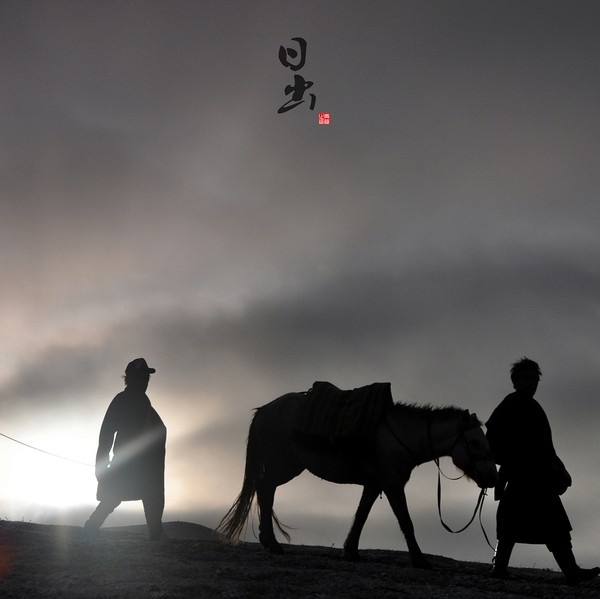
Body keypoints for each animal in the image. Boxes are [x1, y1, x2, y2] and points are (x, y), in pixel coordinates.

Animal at [216, 390, 496, 568]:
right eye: (474, 442)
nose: (492, 478)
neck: (399, 435)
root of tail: (265, 410)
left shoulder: (373, 485)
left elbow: (361, 516)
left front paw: (350, 551)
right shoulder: (393, 484)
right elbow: (406, 522)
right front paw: (420, 560)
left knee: (266, 490)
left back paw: (269, 541)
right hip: (285, 465)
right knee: (266, 489)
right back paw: (272, 543)